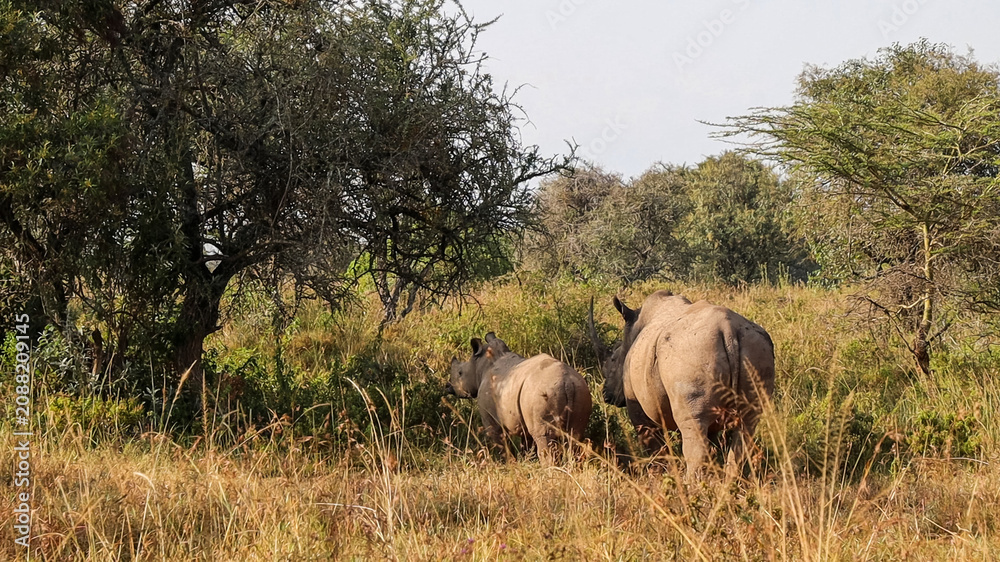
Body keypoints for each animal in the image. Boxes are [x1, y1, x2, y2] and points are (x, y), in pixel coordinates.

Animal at [446, 332, 593, 465]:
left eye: (460, 373)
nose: (448, 386)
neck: (480, 366)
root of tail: (566, 382)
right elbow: (526, 442)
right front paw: (526, 461)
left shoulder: (491, 419)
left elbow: (501, 443)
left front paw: (508, 464)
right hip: (580, 390)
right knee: (575, 435)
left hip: (543, 394)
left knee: (544, 437)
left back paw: (549, 469)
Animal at [589, 290, 775, 477]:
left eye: (613, 360)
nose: (606, 395)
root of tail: (728, 329)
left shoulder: (637, 407)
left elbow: (654, 447)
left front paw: (659, 476)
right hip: (755, 350)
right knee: (746, 428)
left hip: (692, 353)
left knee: (695, 430)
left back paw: (690, 483)